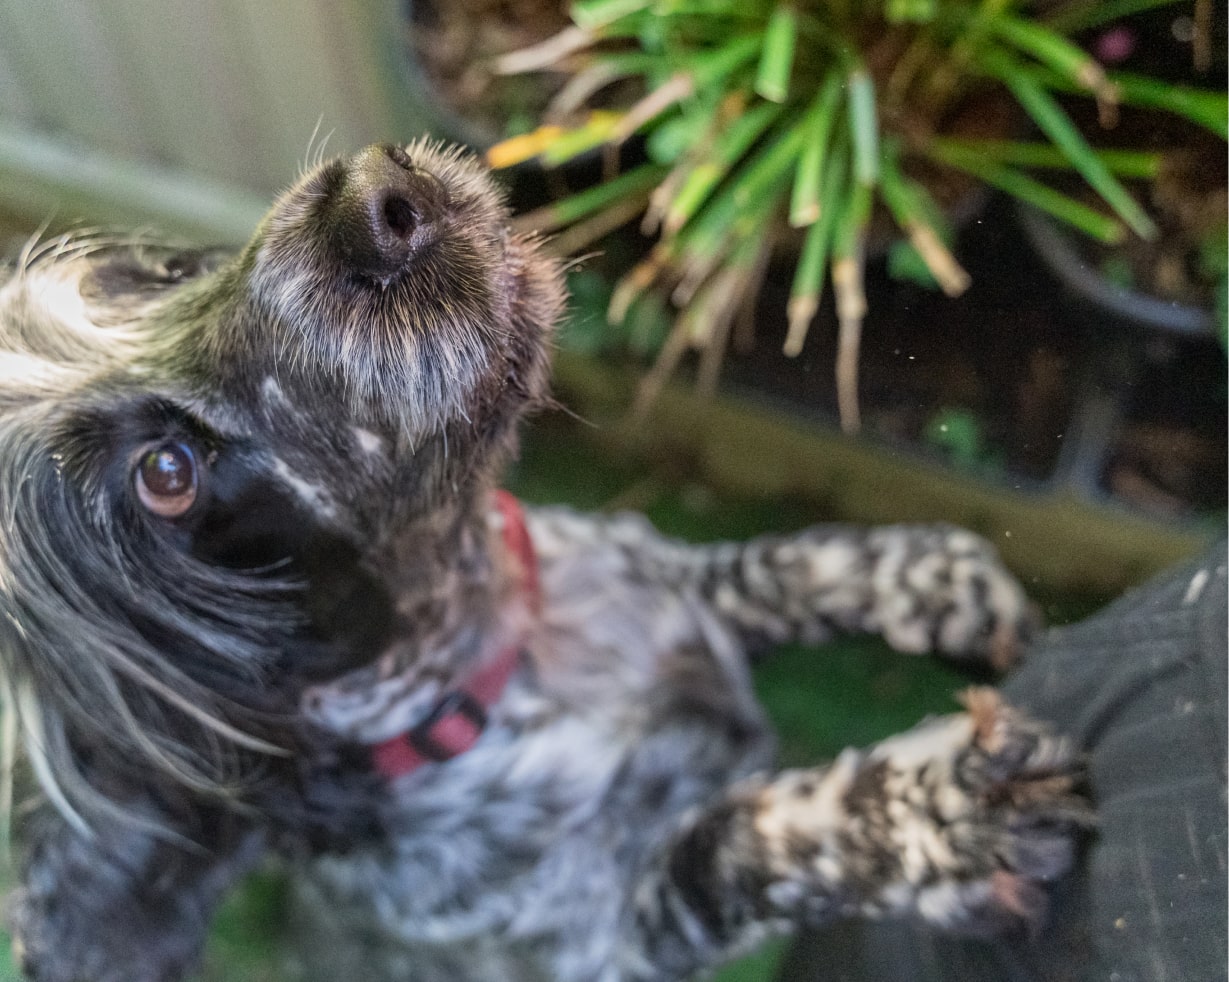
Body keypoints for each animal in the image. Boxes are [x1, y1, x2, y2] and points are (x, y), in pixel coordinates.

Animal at [0, 141, 1086, 982]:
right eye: (165, 474)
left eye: (151, 282)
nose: (369, 201)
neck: (502, 656)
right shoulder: (618, 941)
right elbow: (733, 843)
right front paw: (937, 815)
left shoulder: (676, 580)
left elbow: (782, 567)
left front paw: (942, 580)